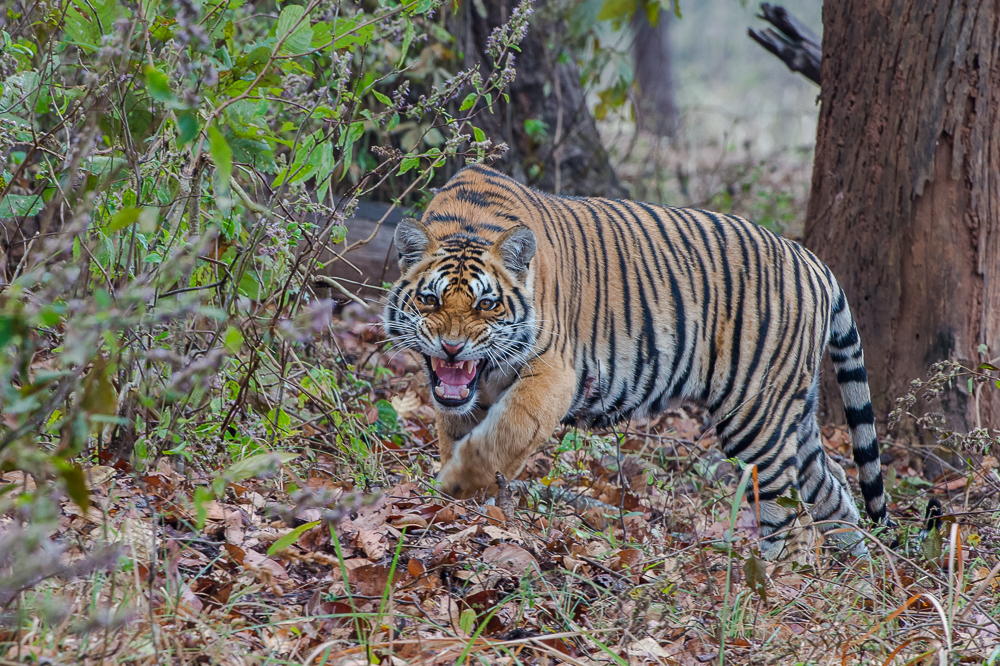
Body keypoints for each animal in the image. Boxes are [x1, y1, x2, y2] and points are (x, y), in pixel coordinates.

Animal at [382, 162, 892, 556]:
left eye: (486, 304)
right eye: (429, 300)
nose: (451, 347)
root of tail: (812, 259)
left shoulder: (555, 370)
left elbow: (507, 431)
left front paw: (457, 484)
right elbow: (459, 431)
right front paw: (463, 511)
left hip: (756, 418)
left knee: (787, 516)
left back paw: (769, 592)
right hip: (791, 413)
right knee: (834, 490)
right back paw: (856, 582)